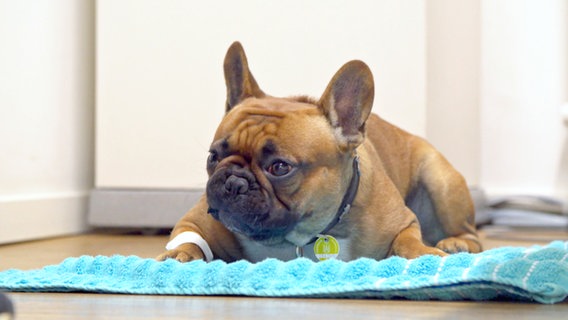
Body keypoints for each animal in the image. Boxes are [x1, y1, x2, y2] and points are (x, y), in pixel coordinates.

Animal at [158, 42, 482, 262]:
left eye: (280, 167)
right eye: (213, 157)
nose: (233, 182)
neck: (300, 239)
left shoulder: (403, 224)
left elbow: (409, 242)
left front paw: (424, 254)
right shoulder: (193, 222)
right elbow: (188, 240)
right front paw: (178, 256)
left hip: (441, 181)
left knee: (473, 234)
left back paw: (456, 243)